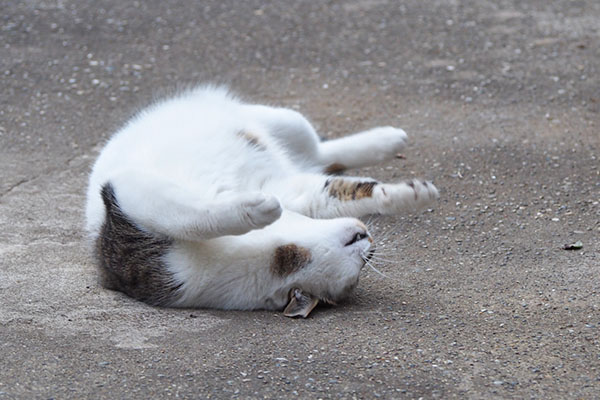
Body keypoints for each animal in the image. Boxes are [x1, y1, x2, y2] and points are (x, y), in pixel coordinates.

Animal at [84, 86, 438, 318]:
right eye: (358, 254)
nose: (369, 239)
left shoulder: (295, 191)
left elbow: (348, 190)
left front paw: (411, 194)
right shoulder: (130, 197)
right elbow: (193, 216)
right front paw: (259, 209)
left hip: (285, 121)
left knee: (321, 152)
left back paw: (387, 140)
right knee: (319, 154)